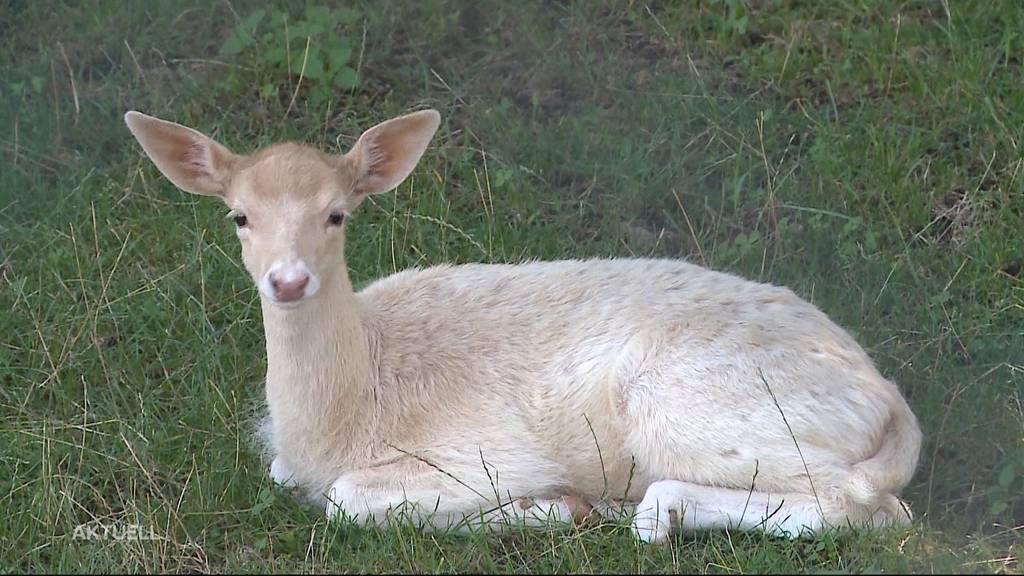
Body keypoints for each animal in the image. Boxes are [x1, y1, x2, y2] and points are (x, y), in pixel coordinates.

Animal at [125, 108, 921, 541]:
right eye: (239, 216)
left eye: (337, 214)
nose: (288, 281)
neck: (345, 415)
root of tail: (886, 400)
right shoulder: (289, 458)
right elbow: (289, 475)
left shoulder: (481, 451)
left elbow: (347, 502)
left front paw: (549, 506)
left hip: (700, 408)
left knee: (866, 506)